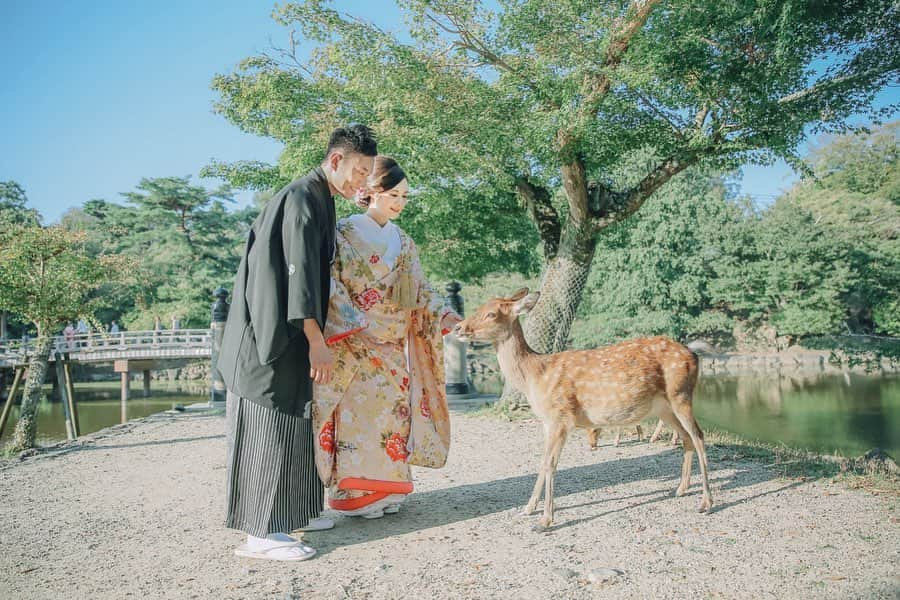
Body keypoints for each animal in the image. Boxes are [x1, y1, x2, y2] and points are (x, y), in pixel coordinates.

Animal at [454, 290, 712, 528]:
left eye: (491, 314)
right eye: (479, 307)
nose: (458, 327)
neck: (534, 376)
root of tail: (694, 354)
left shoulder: (560, 416)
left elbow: (550, 463)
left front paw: (546, 520)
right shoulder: (546, 421)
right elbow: (541, 461)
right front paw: (528, 509)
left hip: (680, 394)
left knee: (699, 436)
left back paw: (706, 502)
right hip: (664, 408)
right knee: (686, 438)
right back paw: (680, 489)